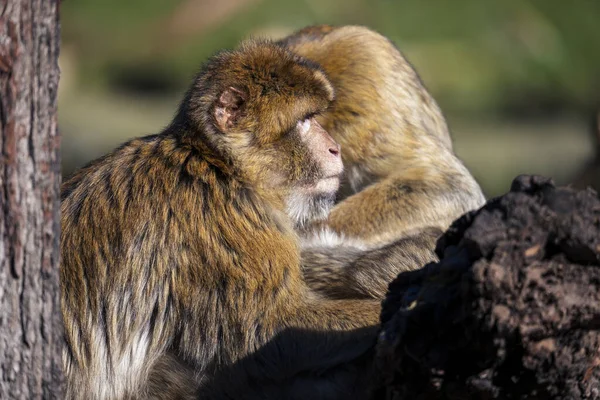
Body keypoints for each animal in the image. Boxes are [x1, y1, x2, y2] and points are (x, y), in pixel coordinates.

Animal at [61, 38, 382, 400]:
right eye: (305, 120)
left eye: (315, 117)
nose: (335, 148)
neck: (220, 165)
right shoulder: (228, 226)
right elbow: (269, 333)